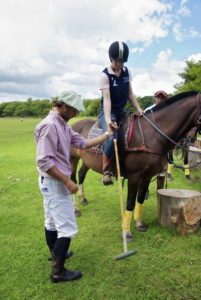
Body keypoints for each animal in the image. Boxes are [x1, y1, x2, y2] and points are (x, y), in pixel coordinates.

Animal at [70, 91, 200, 241]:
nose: (190, 139)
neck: (153, 135)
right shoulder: (134, 177)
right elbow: (130, 202)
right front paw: (126, 233)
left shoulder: (147, 176)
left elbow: (140, 199)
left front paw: (139, 223)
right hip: (72, 159)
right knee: (72, 180)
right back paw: (76, 209)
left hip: (87, 160)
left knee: (81, 174)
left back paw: (83, 199)